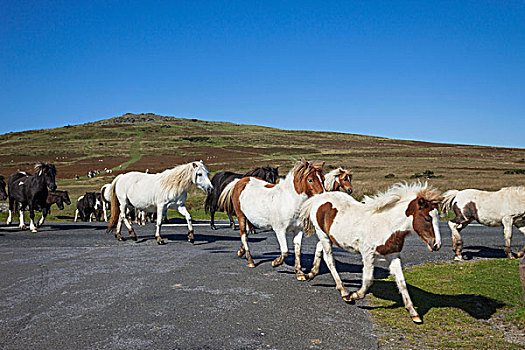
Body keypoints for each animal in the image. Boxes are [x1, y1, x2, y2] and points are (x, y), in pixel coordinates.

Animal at [298, 182, 442, 324]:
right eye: (427, 218)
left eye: (437, 218)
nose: (436, 245)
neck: (387, 224)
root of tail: (319, 197)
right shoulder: (368, 254)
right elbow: (368, 280)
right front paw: (354, 295)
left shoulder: (393, 255)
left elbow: (401, 282)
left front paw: (414, 313)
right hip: (323, 234)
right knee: (330, 260)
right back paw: (344, 292)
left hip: (327, 237)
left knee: (319, 248)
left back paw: (311, 274)